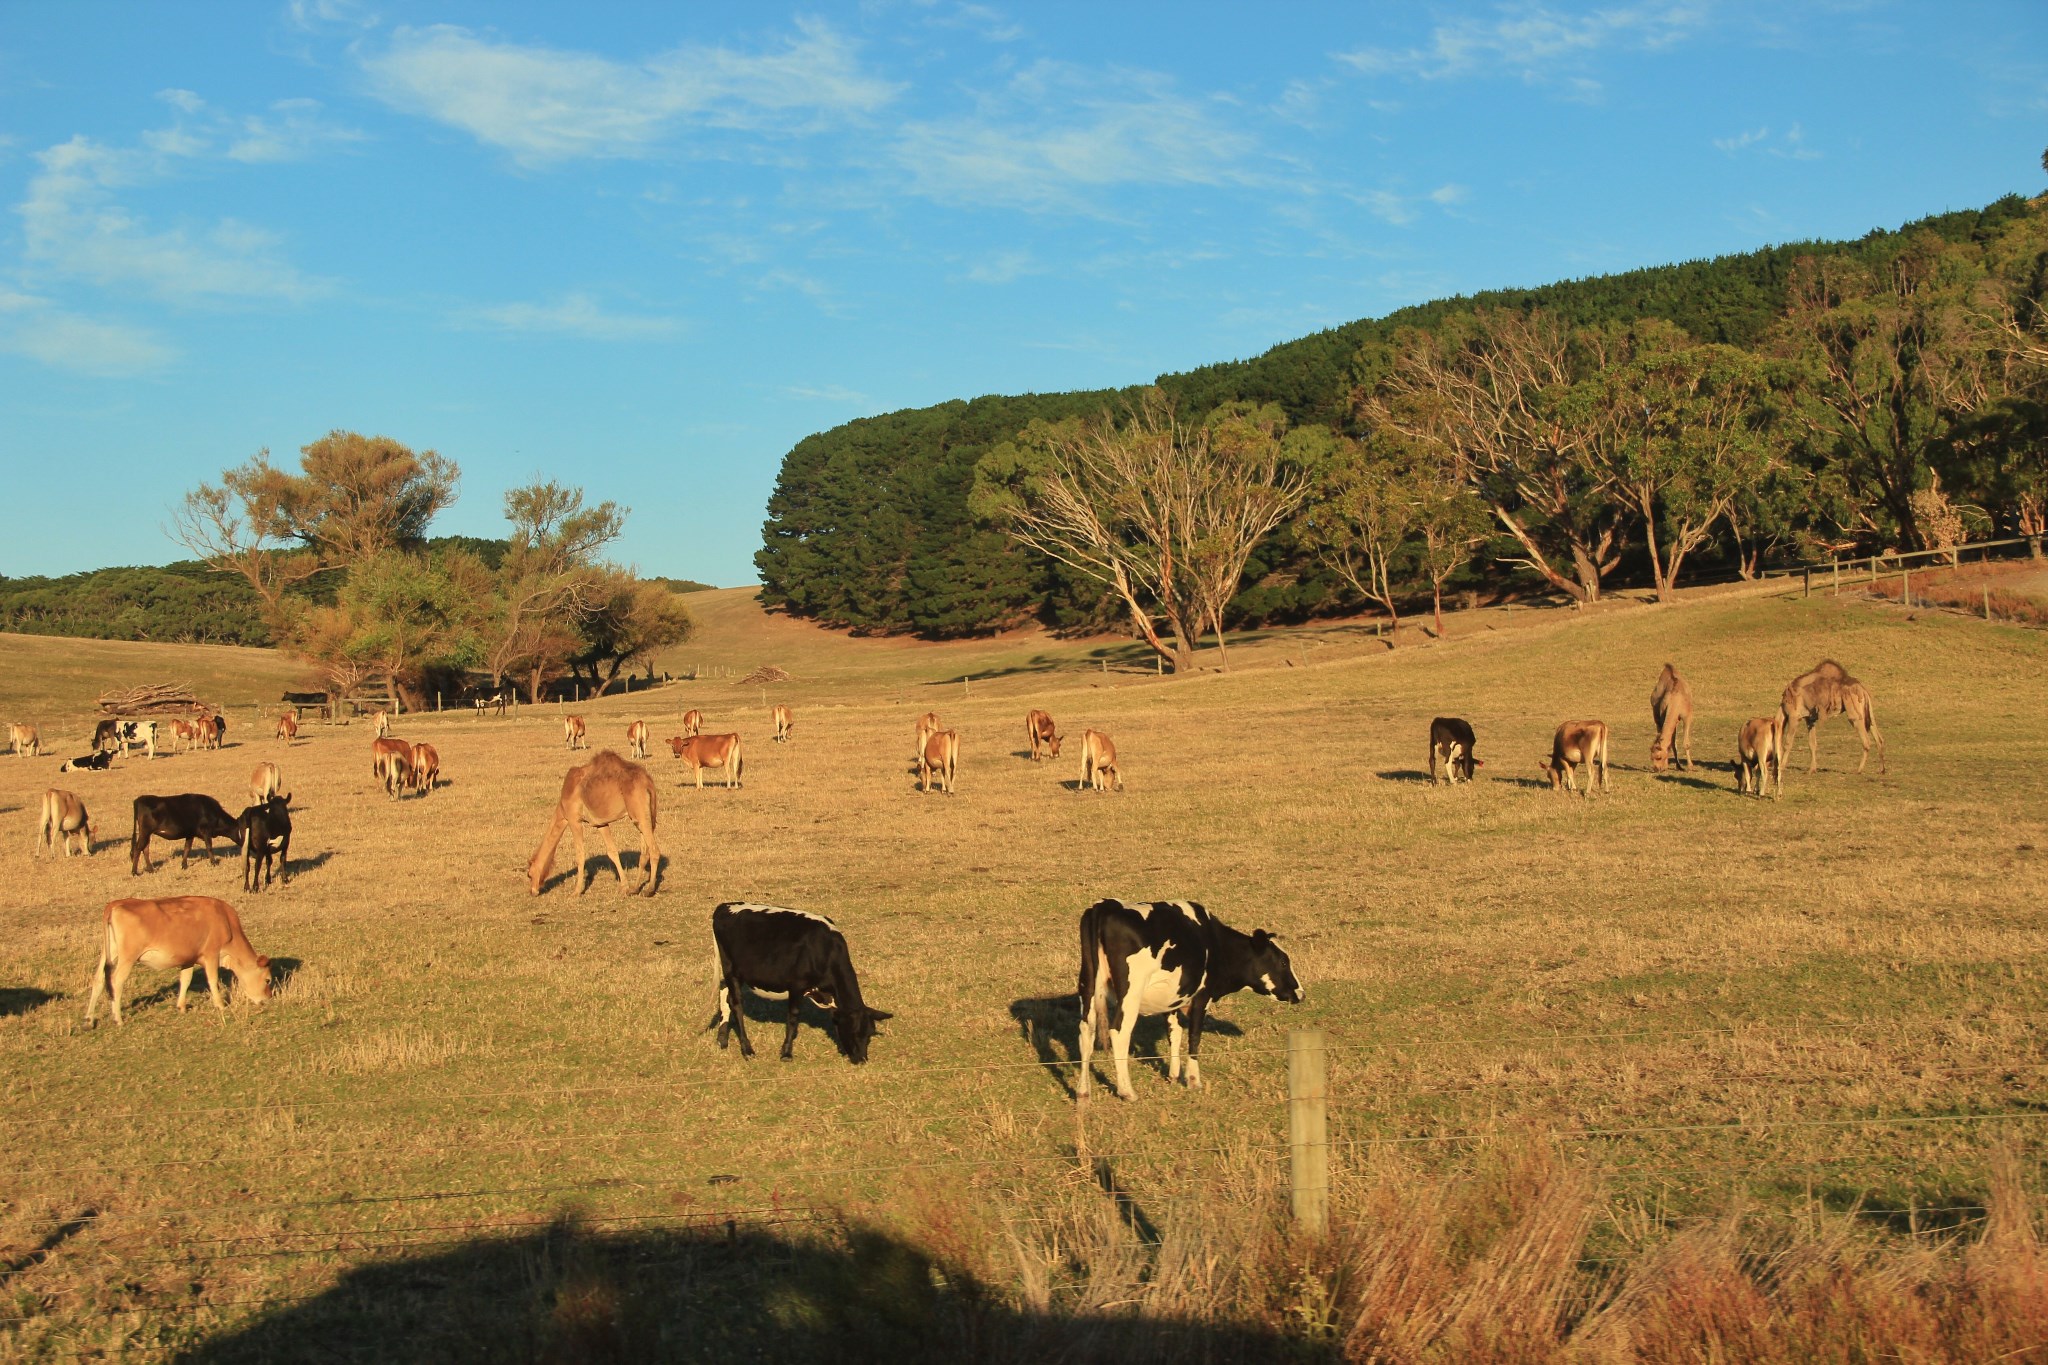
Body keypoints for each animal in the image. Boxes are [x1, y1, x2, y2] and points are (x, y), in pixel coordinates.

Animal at [83, 896, 274, 1023]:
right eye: (268, 980)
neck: (225, 922)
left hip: (108, 952)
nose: (267, 1000)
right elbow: (213, 980)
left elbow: (186, 979)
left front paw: (181, 1006)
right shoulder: (211, 954)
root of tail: (116, 904)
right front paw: (220, 1005)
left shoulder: (189, 959)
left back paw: (89, 1019)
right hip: (127, 957)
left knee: (99, 979)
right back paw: (118, 1018)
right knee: (116, 981)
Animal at [528, 749, 663, 896]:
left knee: (654, 850)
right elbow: (612, 852)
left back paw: (649, 889)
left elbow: (580, 855)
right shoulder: (600, 824)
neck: (562, 809)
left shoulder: (574, 819)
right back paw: (634, 889)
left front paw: (576, 892)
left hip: (639, 813)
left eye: (529, 874)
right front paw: (625, 887)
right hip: (644, 815)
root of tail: (648, 783)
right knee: (644, 852)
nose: (532, 891)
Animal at [708, 908, 892, 1064]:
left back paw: (722, 1040)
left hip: (733, 973)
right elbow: (793, 1017)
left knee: (725, 995)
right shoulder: (797, 985)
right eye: (853, 1030)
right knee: (736, 1004)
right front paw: (786, 1053)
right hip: (731, 969)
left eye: (869, 1033)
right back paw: (747, 1050)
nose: (861, 1059)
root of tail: (724, 907)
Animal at [1081, 900, 1302, 1105]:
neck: (1215, 942)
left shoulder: (1172, 999)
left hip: (1088, 986)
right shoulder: (1201, 996)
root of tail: (1108, 905)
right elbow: (1194, 1036)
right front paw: (1194, 1080)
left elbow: (1174, 1032)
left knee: (1086, 1031)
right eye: (1283, 962)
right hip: (1131, 992)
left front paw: (1173, 1075)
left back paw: (1084, 1093)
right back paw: (1127, 1092)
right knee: (1119, 1032)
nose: (1301, 993)